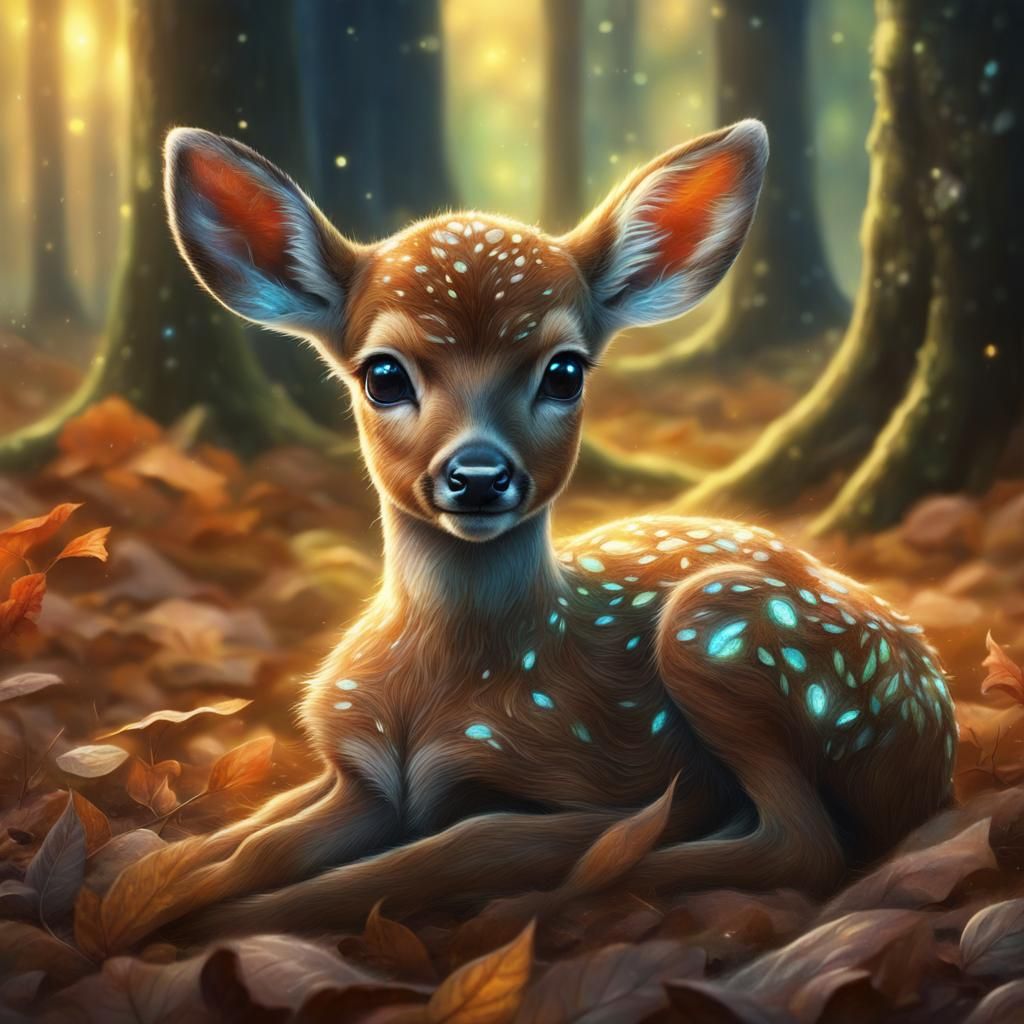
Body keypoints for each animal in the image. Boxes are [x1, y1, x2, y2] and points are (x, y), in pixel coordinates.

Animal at [97, 120, 958, 950]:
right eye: (383, 374)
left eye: (565, 370)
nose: (478, 475)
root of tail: (936, 730)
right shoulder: (358, 774)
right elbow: (252, 840)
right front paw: (143, 896)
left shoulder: (599, 768)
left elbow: (449, 849)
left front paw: (196, 923)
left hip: (720, 632)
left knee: (802, 843)